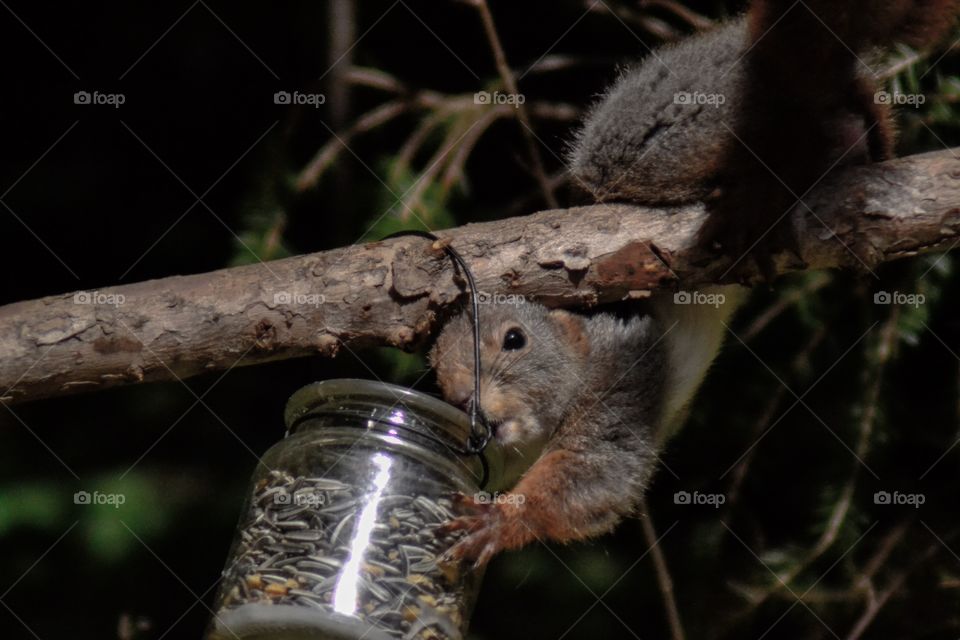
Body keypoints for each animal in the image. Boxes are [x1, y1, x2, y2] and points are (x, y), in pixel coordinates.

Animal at [432, 292, 740, 564]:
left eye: (514, 339)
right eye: (435, 367)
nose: (461, 398)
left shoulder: (622, 374)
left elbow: (596, 469)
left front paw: (497, 521)